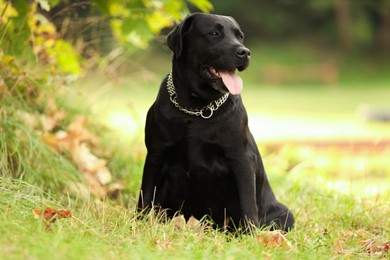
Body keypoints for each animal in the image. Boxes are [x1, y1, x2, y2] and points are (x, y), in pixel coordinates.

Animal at [137, 12, 292, 232]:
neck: (196, 109)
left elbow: (248, 204)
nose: (245, 52)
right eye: (214, 33)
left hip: (285, 214)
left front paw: (250, 235)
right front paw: (136, 225)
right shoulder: (155, 155)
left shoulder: (240, 158)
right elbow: (145, 196)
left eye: (240, 36)